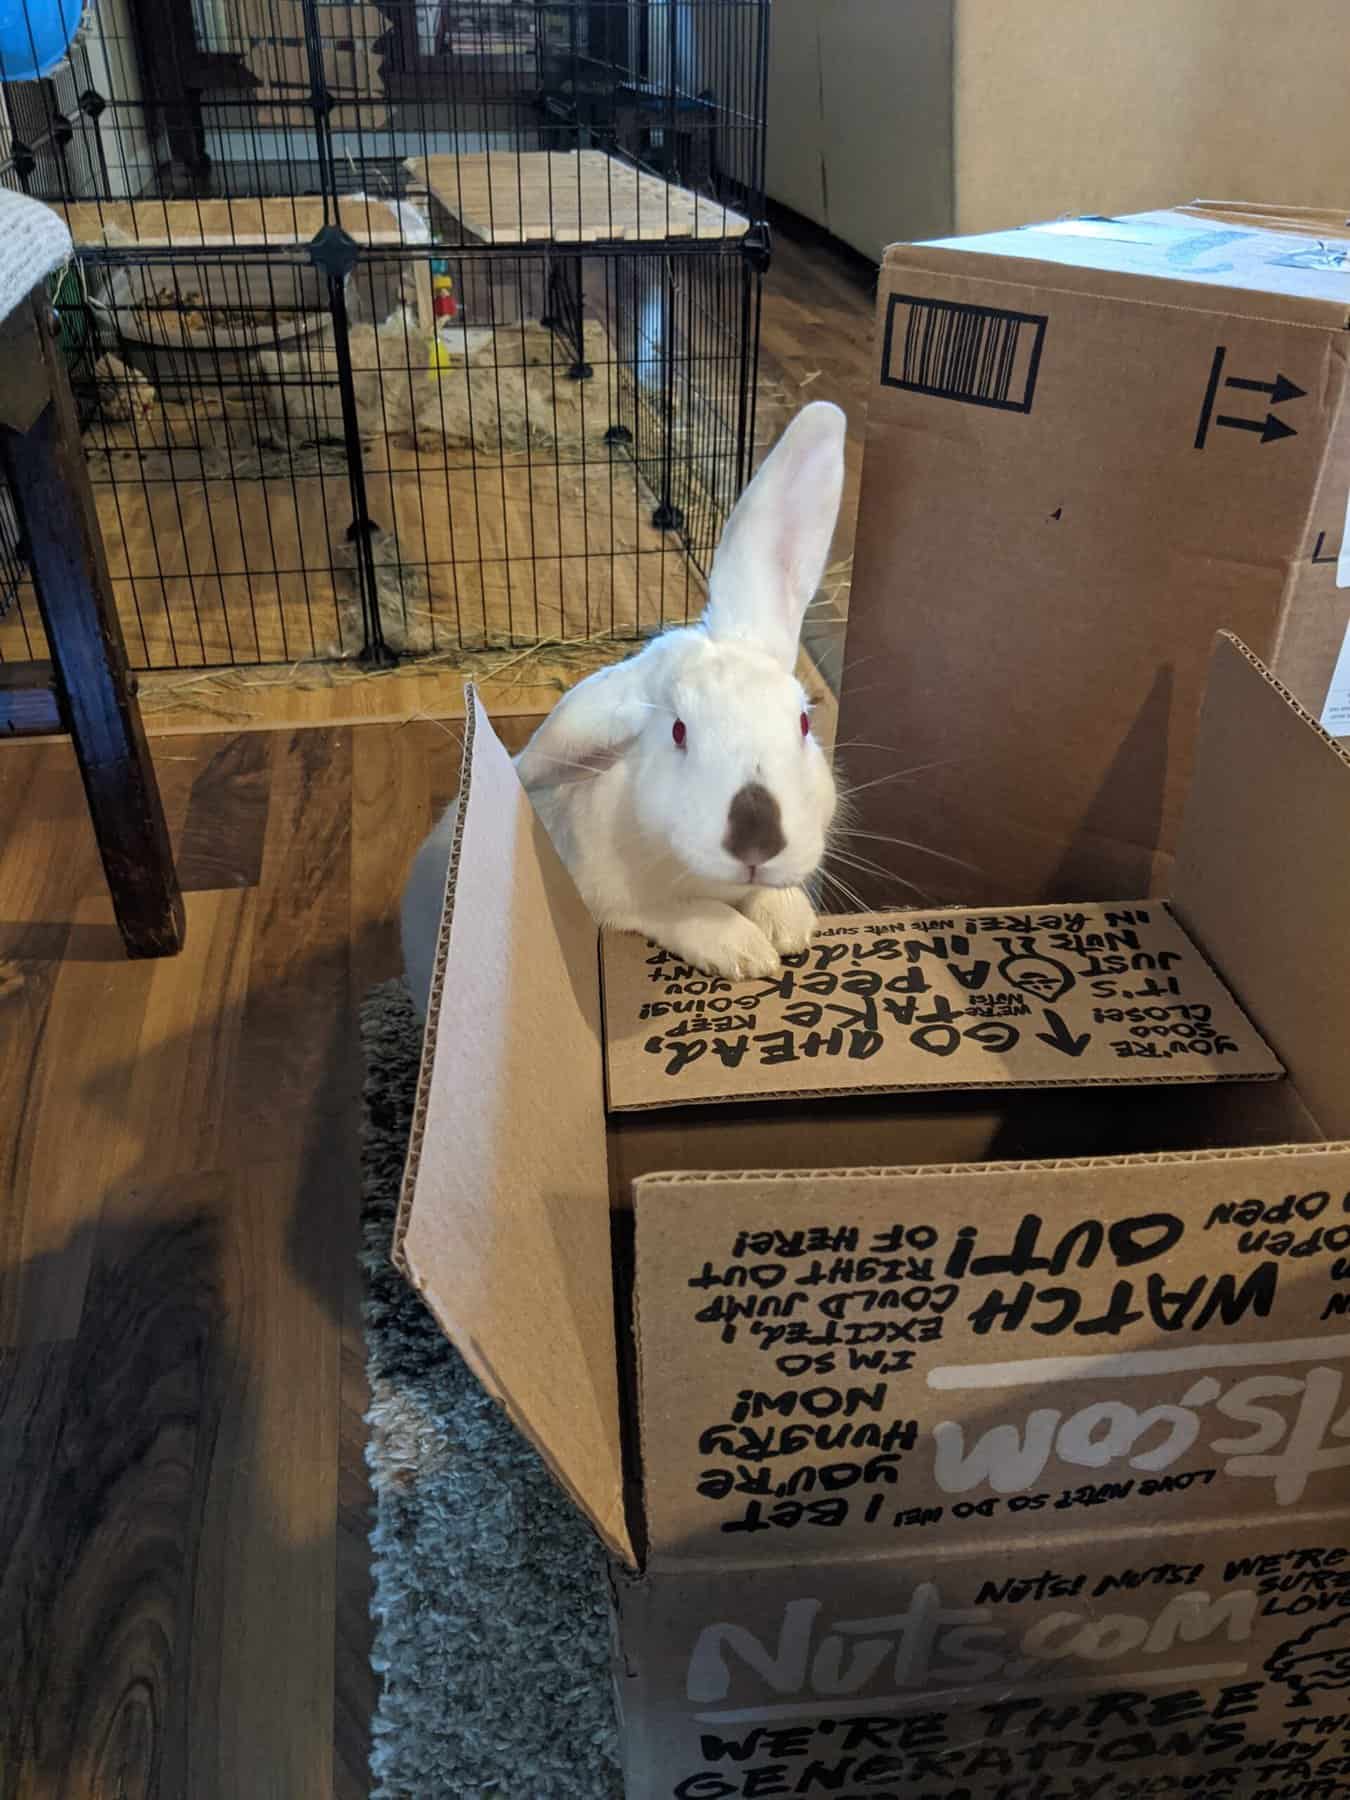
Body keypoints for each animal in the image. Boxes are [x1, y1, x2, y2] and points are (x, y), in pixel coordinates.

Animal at [401, 399, 846, 1020]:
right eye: (679, 731)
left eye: (803, 723)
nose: (757, 842)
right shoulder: (610, 901)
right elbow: (677, 913)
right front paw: (745, 951)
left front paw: (790, 922)